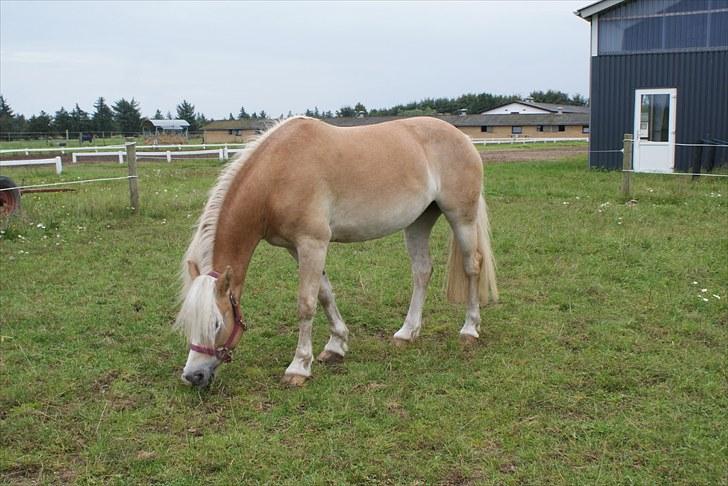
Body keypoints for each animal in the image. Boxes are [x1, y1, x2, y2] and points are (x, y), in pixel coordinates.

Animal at [174, 115, 498, 388]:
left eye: (216, 322)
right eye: (187, 321)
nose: (193, 376)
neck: (277, 174)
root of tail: (462, 137)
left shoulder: (312, 243)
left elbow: (306, 304)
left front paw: (299, 367)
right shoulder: (297, 248)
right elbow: (324, 294)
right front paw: (336, 346)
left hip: (461, 218)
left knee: (472, 266)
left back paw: (469, 330)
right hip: (419, 221)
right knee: (422, 271)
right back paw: (407, 333)